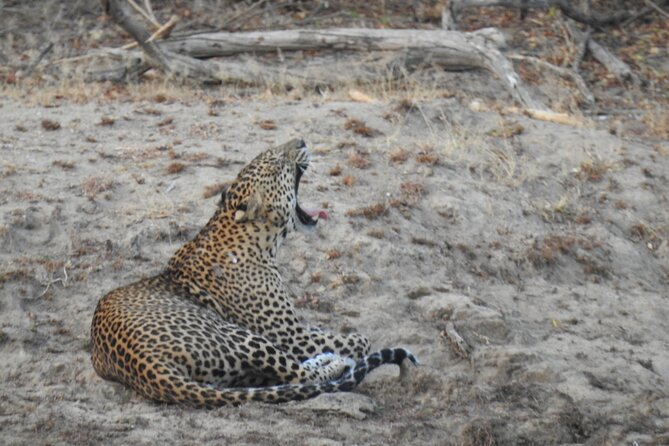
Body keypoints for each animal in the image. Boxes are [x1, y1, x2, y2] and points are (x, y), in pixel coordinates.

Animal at [90, 138, 417, 407]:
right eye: (276, 162)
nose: (301, 140)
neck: (260, 240)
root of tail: (149, 366)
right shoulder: (291, 335)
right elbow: (359, 339)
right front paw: (344, 348)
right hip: (238, 335)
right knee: (299, 374)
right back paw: (334, 362)